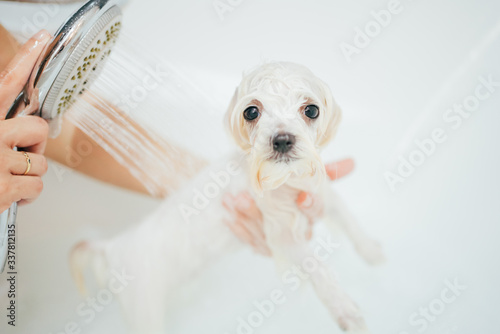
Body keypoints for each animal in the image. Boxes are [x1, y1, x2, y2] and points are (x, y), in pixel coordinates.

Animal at [70, 62, 382, 332]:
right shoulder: (280, 233)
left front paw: (371, 250)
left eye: (312, 110)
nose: (282, 140)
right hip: (142, 307)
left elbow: (347, 216)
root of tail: (111, 246)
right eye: (251, 112)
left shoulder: (319, 192)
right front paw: (344, 309)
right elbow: (315, 266)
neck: (285, 181)